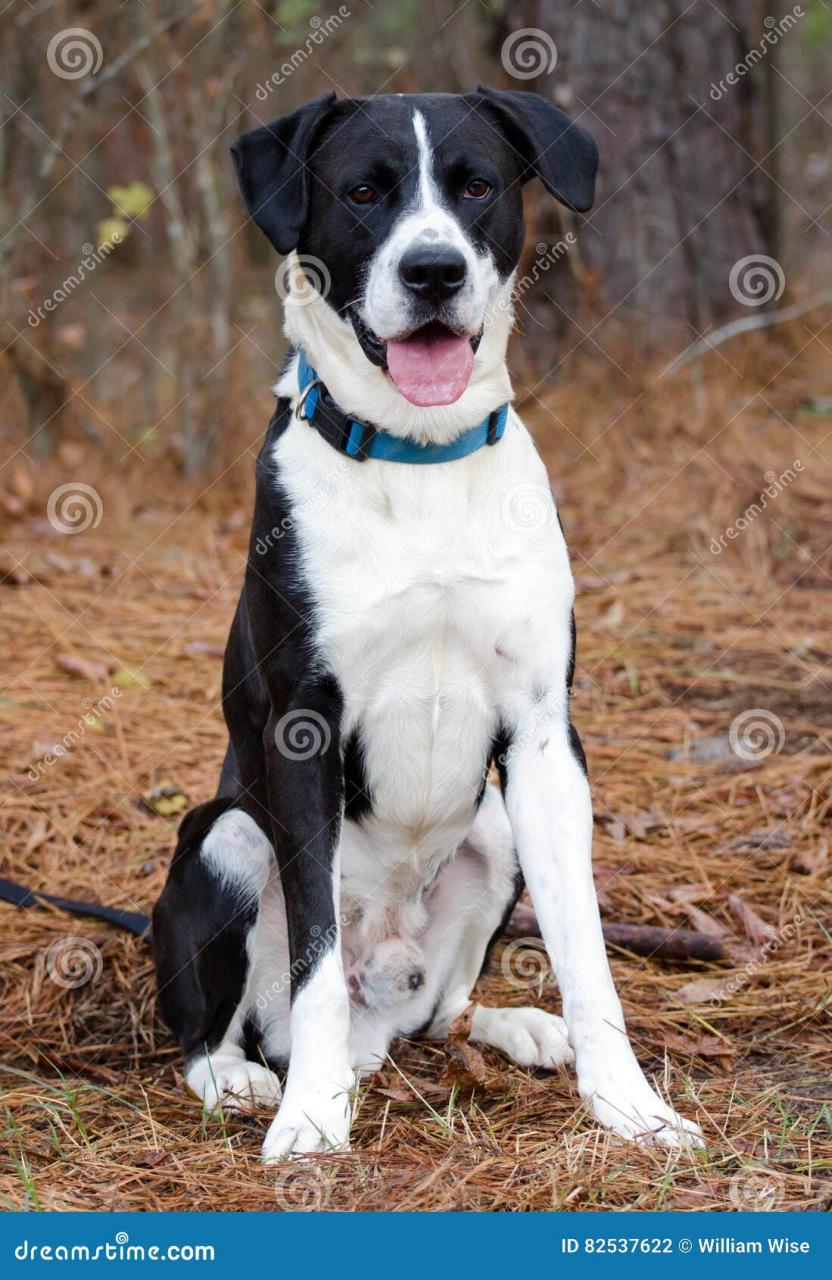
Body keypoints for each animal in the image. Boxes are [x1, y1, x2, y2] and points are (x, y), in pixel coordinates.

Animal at [150, 85, 701, 1157]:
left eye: (475, 186)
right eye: (364, 192)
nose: (434, 270)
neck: (419, 455)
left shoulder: (544, 737)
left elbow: (587, 950)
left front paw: (631, 1106)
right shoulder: (301, 729)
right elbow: (317, 956)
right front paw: (312, 1121)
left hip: (493, 833)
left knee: (441, 1013)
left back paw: (515, 1028)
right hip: (226, 836)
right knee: (216, 1025)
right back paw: (251, 1076)